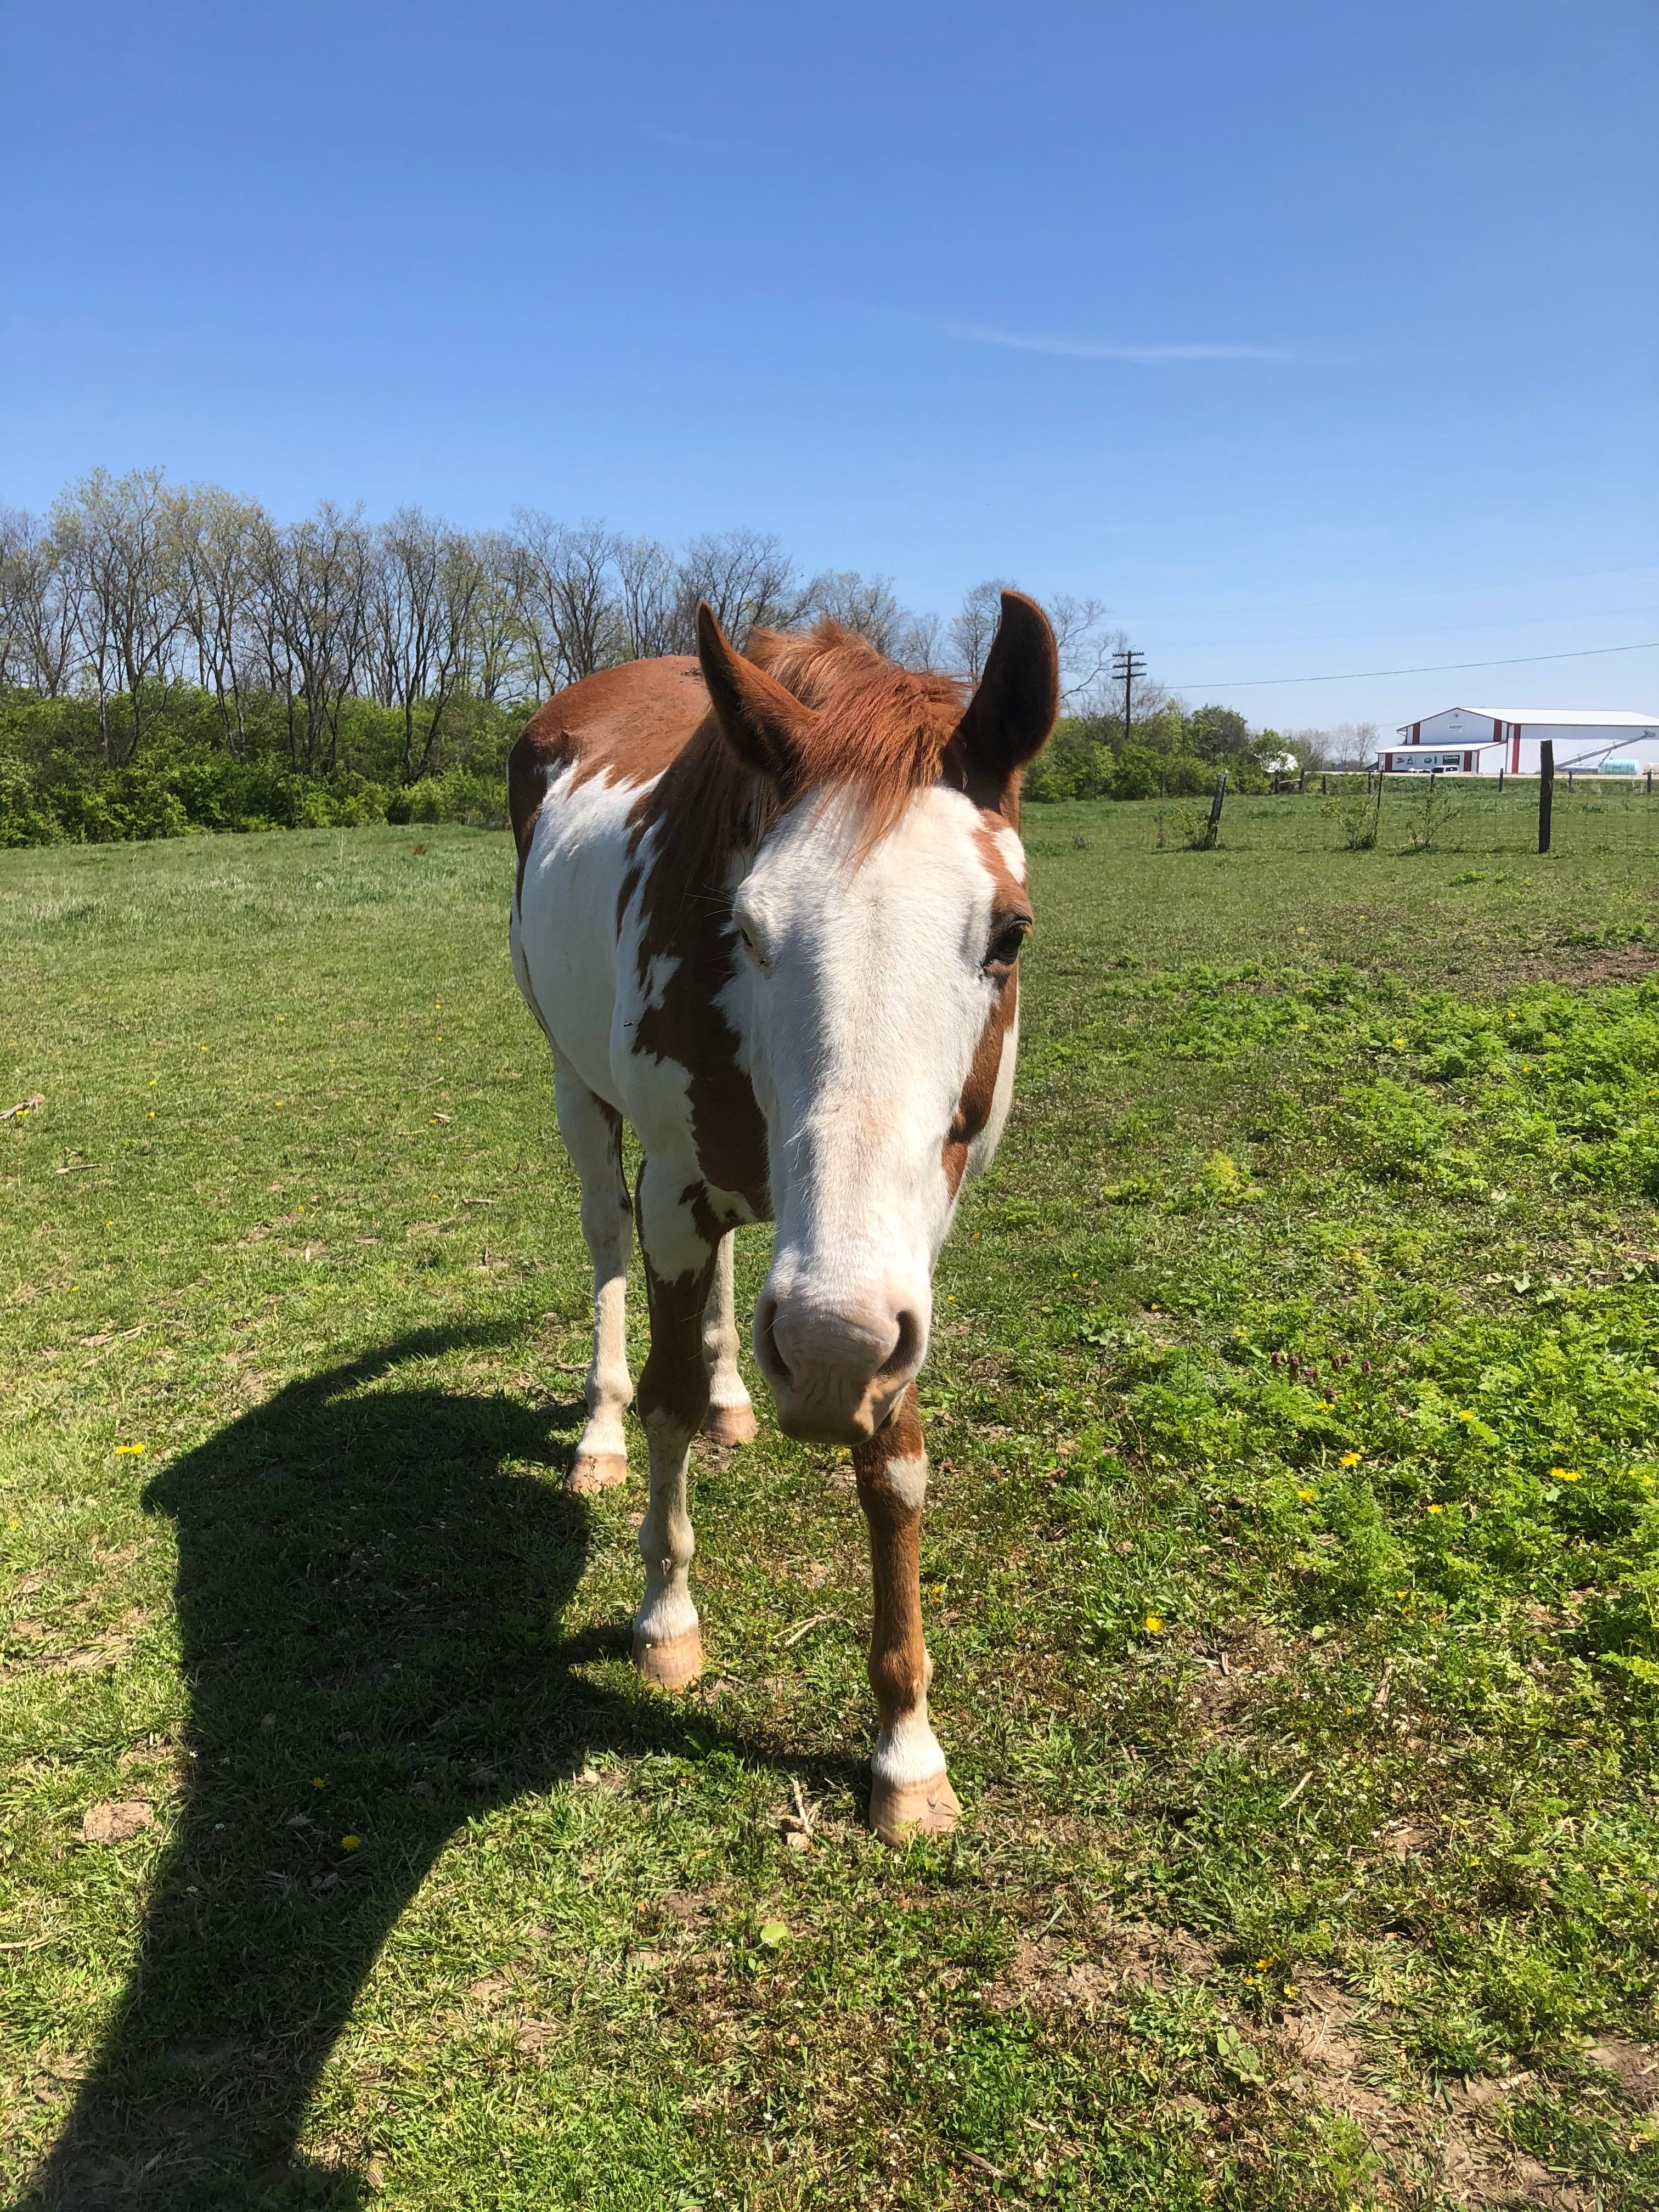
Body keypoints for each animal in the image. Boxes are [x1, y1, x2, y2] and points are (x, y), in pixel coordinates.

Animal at [506, 597, 1057, 1840]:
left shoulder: (900, 1266)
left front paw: (905, 1750)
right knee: (606, 1249)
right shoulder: (675, 1194)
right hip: (579, 1098)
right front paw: (665, 1621)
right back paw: (601, 1432)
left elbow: (893, 1467)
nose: (825, 1350)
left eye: (1007, 934)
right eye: (749, 929)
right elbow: (663, 1403)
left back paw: (732, 1400)